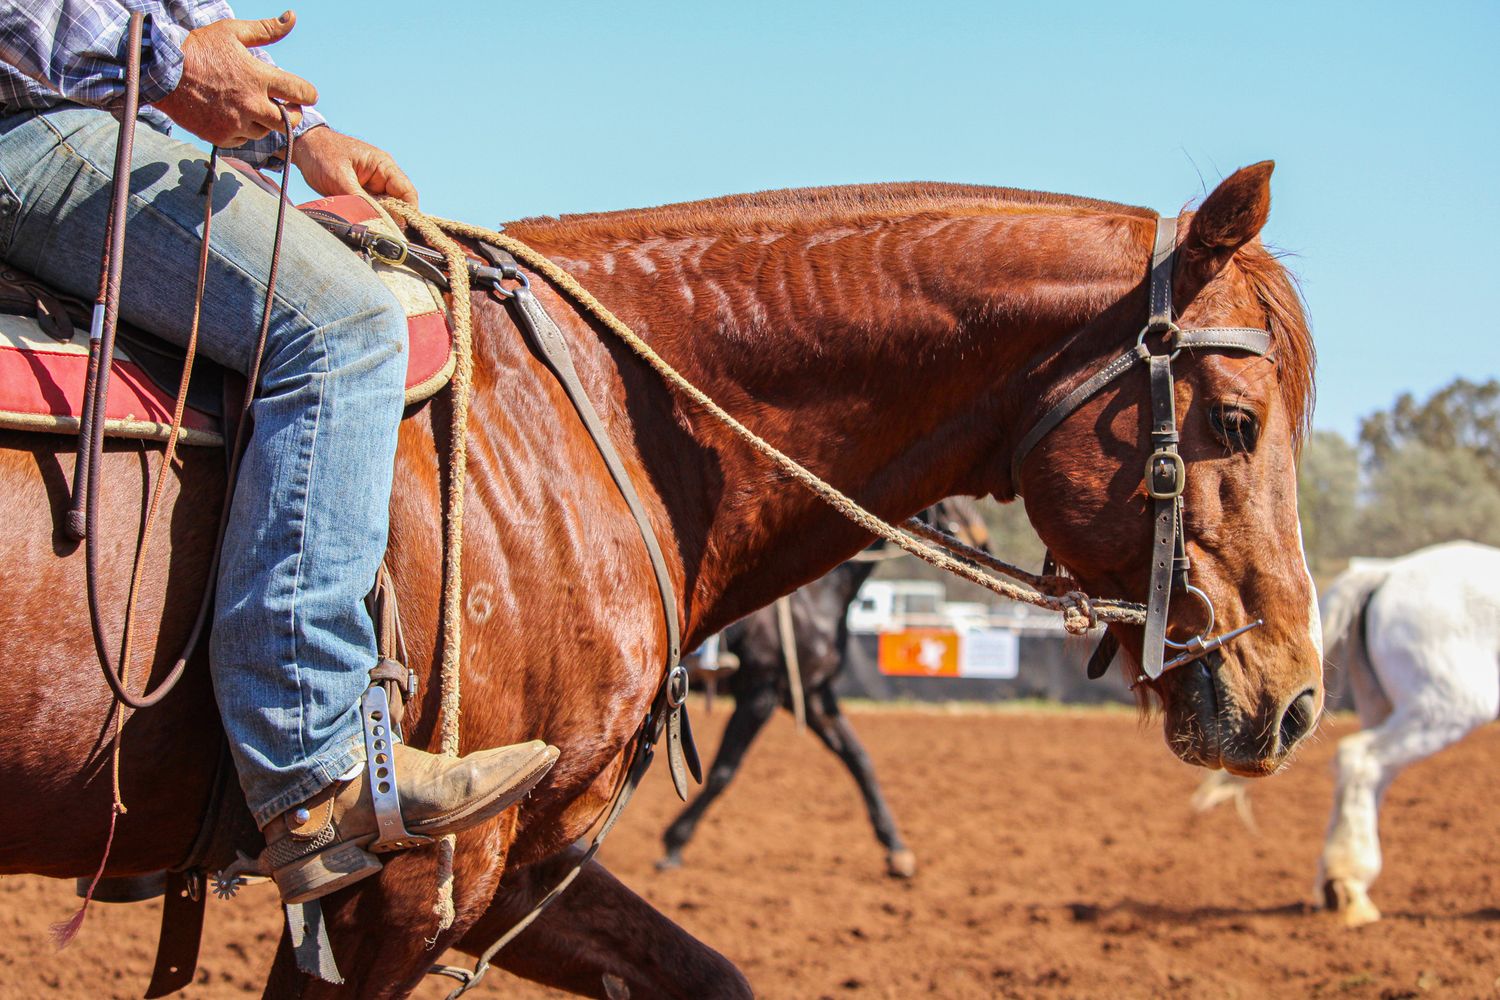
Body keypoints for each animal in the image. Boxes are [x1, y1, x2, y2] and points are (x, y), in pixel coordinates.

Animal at [657, 496, 990, 880]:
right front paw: (674, 842)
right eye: (948, 503)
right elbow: (722, 771)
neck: (815, 599)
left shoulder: (812, 695)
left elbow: (859, 759)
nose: (984, 545)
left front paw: (896, 848)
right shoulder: (761, 694)